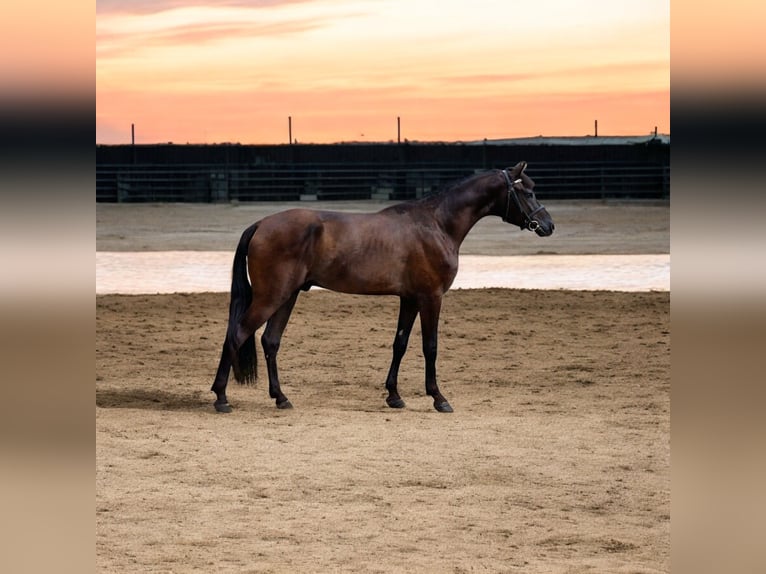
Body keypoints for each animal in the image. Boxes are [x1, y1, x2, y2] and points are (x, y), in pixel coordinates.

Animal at [213, 162, 556, 414]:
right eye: (527, 191)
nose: (548, 225)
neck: (436, 224)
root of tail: (261, 224)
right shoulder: (431, 298)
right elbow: (430, 346)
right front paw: (438, 398)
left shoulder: (410, 299)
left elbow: (400, 344)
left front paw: (394, 395)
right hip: (271, 297)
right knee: (238, 334)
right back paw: (221, 398)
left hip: (287, 296)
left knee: (270, 341)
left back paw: (281, 398)